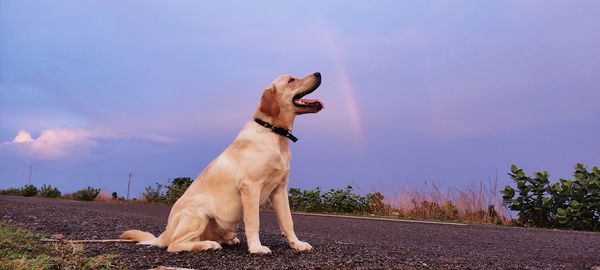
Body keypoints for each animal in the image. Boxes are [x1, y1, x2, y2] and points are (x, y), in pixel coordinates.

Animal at [120, 71, 324, 253]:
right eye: (291, 80)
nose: (318, 73)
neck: (273, 132)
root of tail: (165, 233)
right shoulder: (250, 187)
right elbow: (254, 222)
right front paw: (256, 248)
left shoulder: (279, 189)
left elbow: (288, 221)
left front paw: (297, 244)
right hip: (198, 215)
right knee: (175, 245)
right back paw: (208, 245)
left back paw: (225, 241)